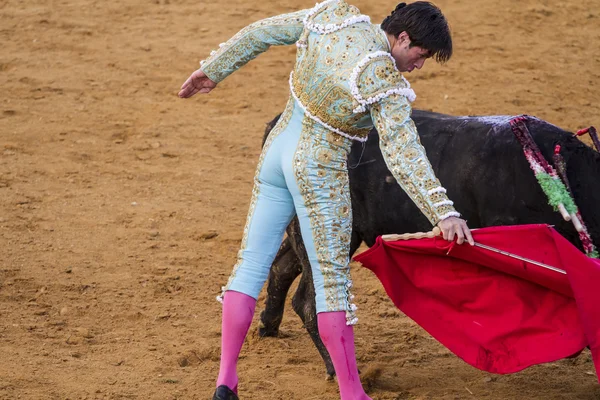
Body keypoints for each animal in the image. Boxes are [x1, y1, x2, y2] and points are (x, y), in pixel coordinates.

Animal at [254, 108, 600, 378]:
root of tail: (278, 124)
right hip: (332, 230)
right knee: (309, 300)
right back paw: (339, 371)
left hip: (304, 227)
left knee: (281, 268)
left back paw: (268, 327)